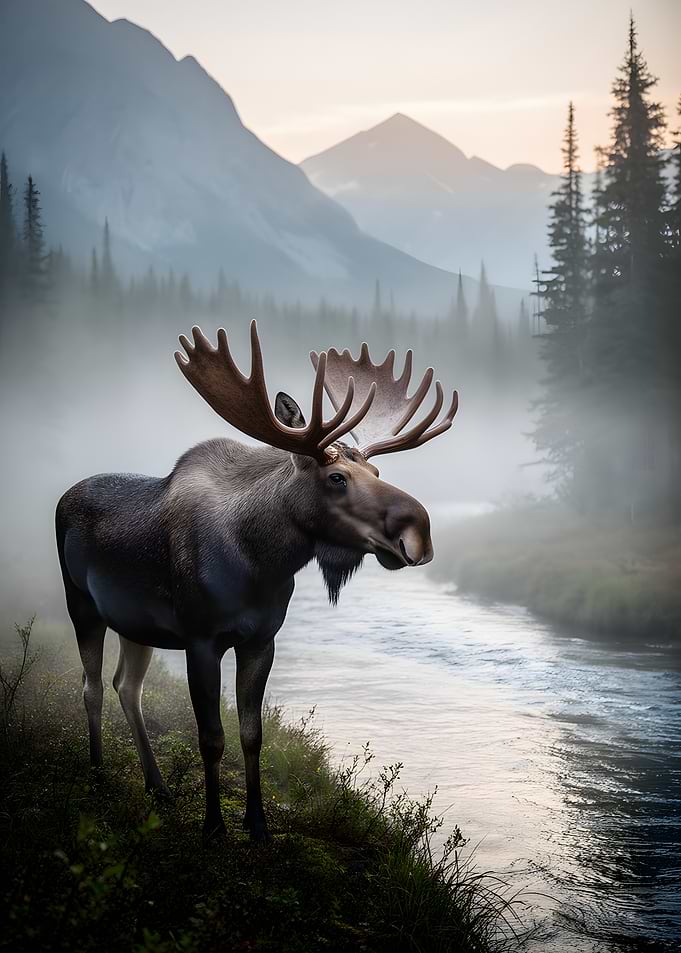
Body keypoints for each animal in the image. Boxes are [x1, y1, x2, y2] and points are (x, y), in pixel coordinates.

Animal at [56, 322, 458, 842]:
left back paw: (157, 786)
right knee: (92, 686)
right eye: (337, 477)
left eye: (376, 469)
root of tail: (64, 496)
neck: (261, 563)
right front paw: (213, 827)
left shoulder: (261, 641)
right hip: (81, 605)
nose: (419, 531)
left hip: (133, 623)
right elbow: (211, 738)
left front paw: (258, 825)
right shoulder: (200, 639)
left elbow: (252, 735)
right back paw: (99, 775)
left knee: (128, 687)